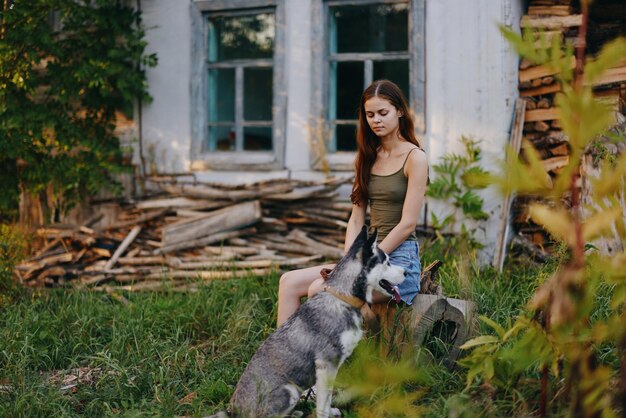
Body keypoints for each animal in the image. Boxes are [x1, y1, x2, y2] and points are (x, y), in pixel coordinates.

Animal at [222, 227, 402, 416]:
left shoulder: (332, 366)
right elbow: (322, 404)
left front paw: (331, 412)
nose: (406, 272)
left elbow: (327, 398)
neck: (343, 298)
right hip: (290, 390)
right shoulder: (326, 364)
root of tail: (232, 410)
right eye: (387, 262)